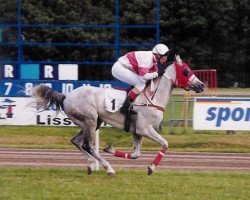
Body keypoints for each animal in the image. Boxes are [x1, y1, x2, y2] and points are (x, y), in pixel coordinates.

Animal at [31, 54, 205, 175]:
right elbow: (165, 144)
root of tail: (66, 96)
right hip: (90, 121)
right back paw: (108, 168)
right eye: (186, 71)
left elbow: (136, 154)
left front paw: (110, 149)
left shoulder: (137, 132)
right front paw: (151, 168)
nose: (202, 85)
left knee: (76, 141)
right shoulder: (146, 129)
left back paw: (92, 165)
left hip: (92, 122)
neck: (152, 97)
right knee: (87, 145)